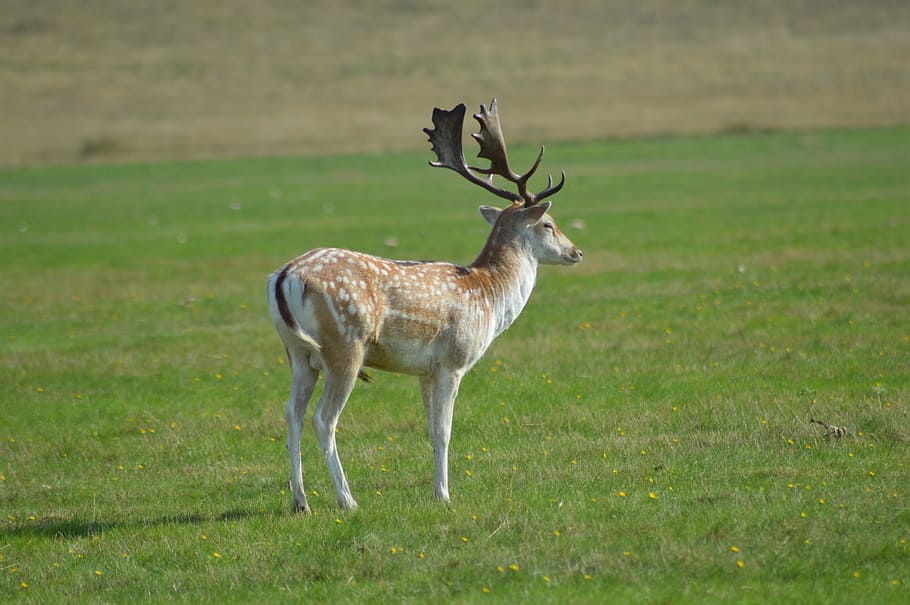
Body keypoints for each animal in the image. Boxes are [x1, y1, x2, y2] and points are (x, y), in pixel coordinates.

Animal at [266, 100, 582, 513]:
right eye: (548, 223)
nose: (576, 252)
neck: (488, 297)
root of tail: (285, 276)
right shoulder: (453, 360)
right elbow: (445, 430)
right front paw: (445, 494)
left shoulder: (424, 371)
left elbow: (430, 428)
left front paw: (436, 491)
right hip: (345, 347)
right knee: (323, 419)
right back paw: (347, 500)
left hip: (297, 354)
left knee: (292, 414)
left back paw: (301, 501)